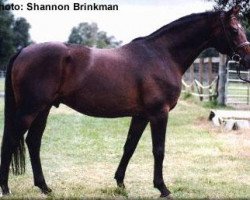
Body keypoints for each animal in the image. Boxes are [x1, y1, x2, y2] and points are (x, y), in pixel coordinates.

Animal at [0, 5, 250, 198]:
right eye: (234, 29)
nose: (247, 59)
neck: (162, 55)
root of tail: (23, 51)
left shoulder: (140, 115)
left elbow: (129, 146)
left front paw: (120, 183)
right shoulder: (159, 113)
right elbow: (158, 150)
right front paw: (163, 188)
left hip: (43, 109)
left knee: (33, 142)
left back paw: (44, 187)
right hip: (29, 109)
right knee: (11, 140)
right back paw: (6, 188)